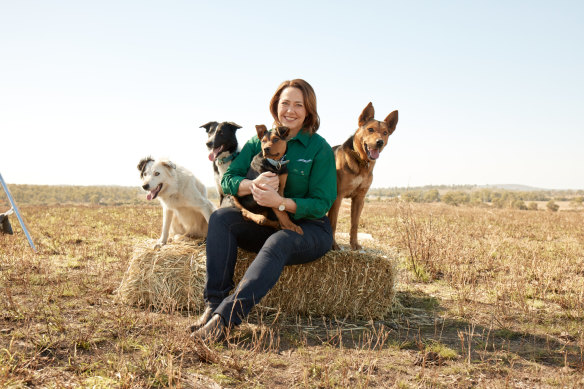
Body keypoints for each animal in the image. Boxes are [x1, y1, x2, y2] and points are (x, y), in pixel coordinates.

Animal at [326, 102, 400, 249]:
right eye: (370, 129)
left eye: (385, 133)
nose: (379, 142)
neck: (361, 162)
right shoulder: (338, 196)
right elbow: (333, 222)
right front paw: (333, 245)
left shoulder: (360, 198)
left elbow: (355, 224)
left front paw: (354, 244)